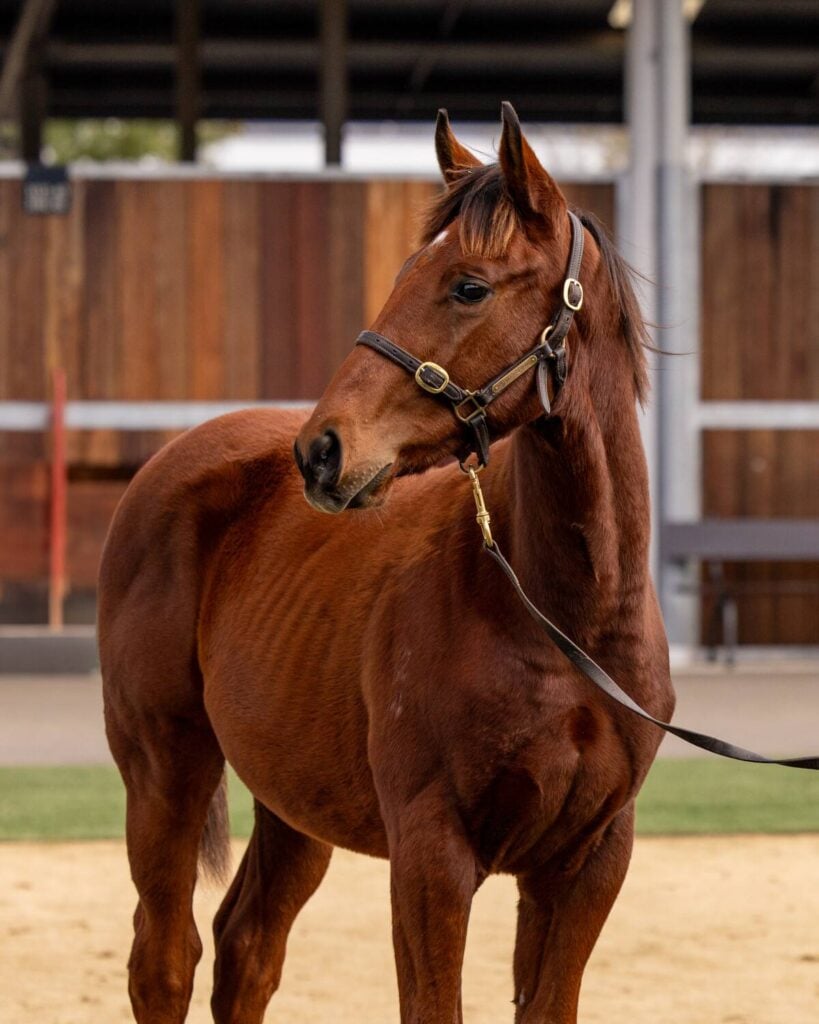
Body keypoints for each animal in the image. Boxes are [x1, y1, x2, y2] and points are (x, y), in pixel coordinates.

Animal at [99, 101, 675, 1024]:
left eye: (468, 285)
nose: (322, 452)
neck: (565, 624)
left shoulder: (584, 864)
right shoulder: (431, 857)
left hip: (294, 802)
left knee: (246, 949)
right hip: (162, 771)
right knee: (164, 960)